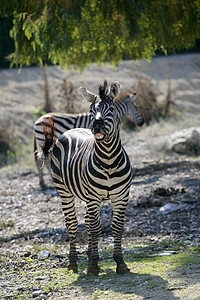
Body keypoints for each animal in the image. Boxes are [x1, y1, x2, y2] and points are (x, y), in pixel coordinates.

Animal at [41, 79, 141, 274]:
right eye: (91, 110)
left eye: (111, 108)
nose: (96, 125)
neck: (109, 159)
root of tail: (70, 130)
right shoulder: (93, 197)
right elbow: (95, 229)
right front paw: (94, 265)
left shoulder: (122, 196)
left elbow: (117, 228)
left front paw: (120, 262)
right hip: (64, 191)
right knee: (73, 223)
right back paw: (73, 262)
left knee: (87, 220)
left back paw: (87, 256)